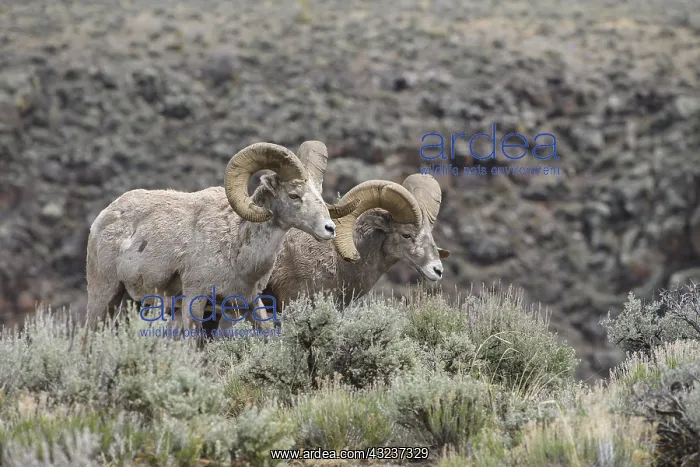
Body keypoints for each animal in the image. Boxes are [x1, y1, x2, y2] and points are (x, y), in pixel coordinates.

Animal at [82, 141, 358, 344]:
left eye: (318, 193)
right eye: (293, 195)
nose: (329, 229)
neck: (236, 250)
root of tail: (102, 219)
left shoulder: (249, 302)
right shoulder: (195, 300)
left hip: (126, 301)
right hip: (104, 294)